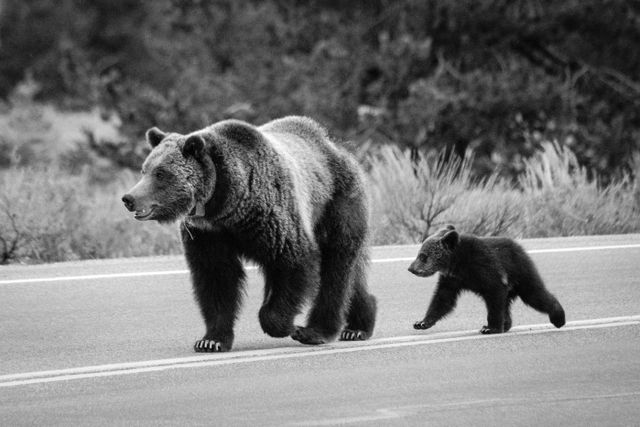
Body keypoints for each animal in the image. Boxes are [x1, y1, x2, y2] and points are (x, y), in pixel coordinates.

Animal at [122, 116, 378, 352]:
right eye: (144, 170)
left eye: (161, 173)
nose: (129, 198)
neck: (225, 205)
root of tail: (338, 147)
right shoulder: (207, 234)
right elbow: (216, 277)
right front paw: (211, 340)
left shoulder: (270, 217)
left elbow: (294, 258)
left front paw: (284, 325)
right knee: (350, 275)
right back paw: (359, 324)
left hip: (336, 204)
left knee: (336, 267)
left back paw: (317, 331)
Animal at [410, 226, 564, 336]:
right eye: (419, 254)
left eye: (423, 256)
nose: (411, 268)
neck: (457, 262)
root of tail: (520, 247)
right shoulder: (452, 279)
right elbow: (443, 299)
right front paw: (421, 322)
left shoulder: (484, 265)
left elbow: (494, 291)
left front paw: (490, 328)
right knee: (508, 304)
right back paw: (507, 324)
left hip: (520, 271)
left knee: (534, 294)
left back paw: (558, 317)